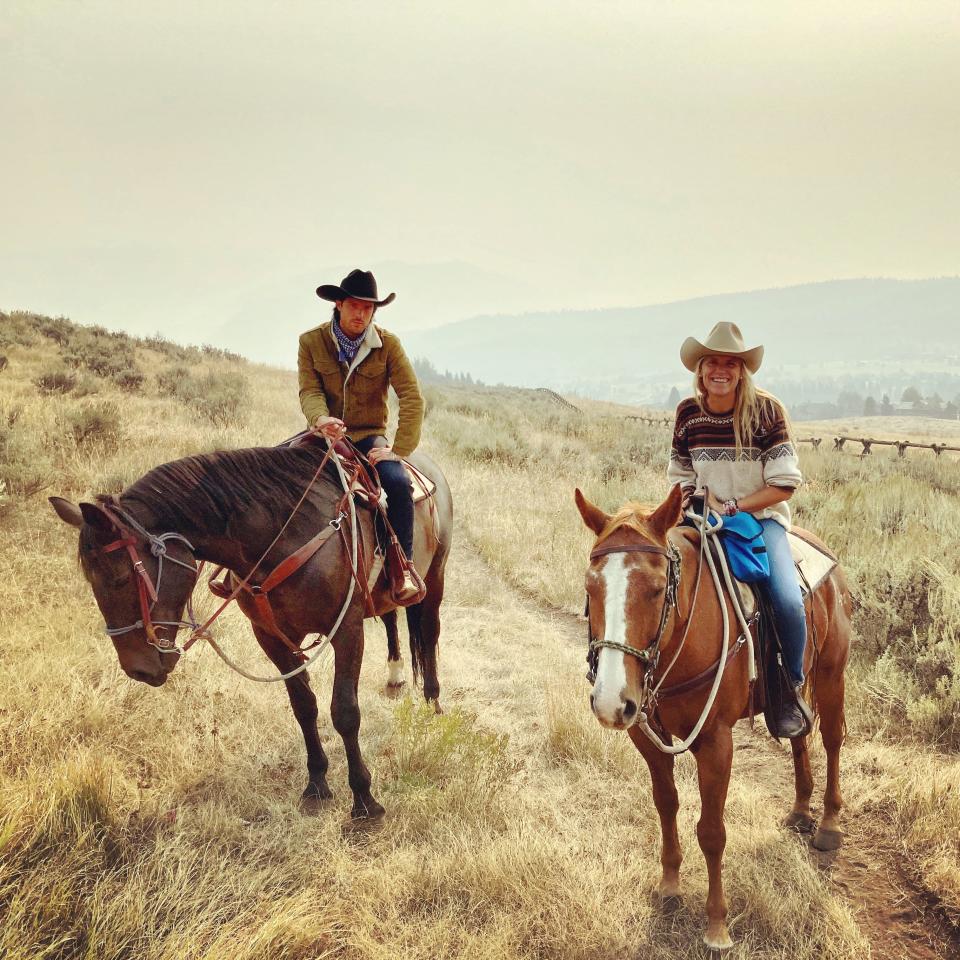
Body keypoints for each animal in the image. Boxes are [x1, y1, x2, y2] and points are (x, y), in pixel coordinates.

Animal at [50, 446, 456, 820]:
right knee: (390, 620)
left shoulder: (347, 629)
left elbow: (344, 712)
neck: (285, 532)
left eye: (121, 577)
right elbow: (303, 706)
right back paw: (395, 676)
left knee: (429, 631)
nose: (138, 669)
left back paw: (433, 702)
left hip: (435, 577)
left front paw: (364, 799)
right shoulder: (269, 636)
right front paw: (317, 783)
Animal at [572, 484, 852, 948]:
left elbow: (712, 831)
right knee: (799, 735)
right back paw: (800, 809)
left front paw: (717, 925)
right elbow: (666, 805)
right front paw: (669, 886)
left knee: (831, 739)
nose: (611, 700)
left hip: (832, 673)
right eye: (590, 586)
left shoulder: (716, 742)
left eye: (655, 589)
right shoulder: (647, 737)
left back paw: (828, 824)